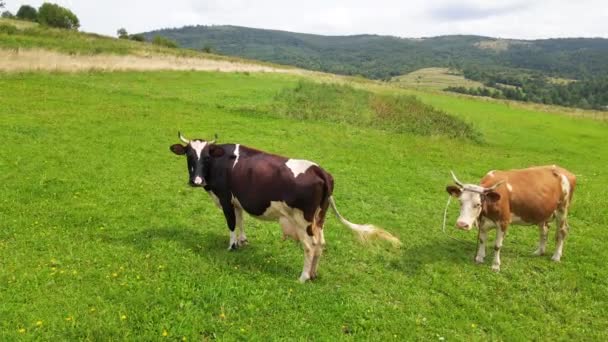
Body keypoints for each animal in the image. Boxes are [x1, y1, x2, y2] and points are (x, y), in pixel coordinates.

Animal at [171, 132, 402, 282]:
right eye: (189, 155)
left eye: (207, 156)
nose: (196, 181)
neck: (219, 164)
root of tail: (320, 170)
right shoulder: (237, 201)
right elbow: (241, 221)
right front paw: (243, 241)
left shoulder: (226, 199)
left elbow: (231, 224)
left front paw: (232, 246)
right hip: (319, 218)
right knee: (321, 243)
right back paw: (313, 274)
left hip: (302, 220)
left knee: (310, 246)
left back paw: (303, 277)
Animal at [446, 166, 576, 272]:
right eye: (460, 201)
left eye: (478, 204)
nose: (462, 224)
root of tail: (565, 172)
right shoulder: (482, 221)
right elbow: (482, 240)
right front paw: (479, 257)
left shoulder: (503, 222)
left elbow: (497, 246)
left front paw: (495, 265)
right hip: (543, 212)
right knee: (544, 230)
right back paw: (539, 251)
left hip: (562, 209)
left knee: (562, 231)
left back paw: (556, 256)